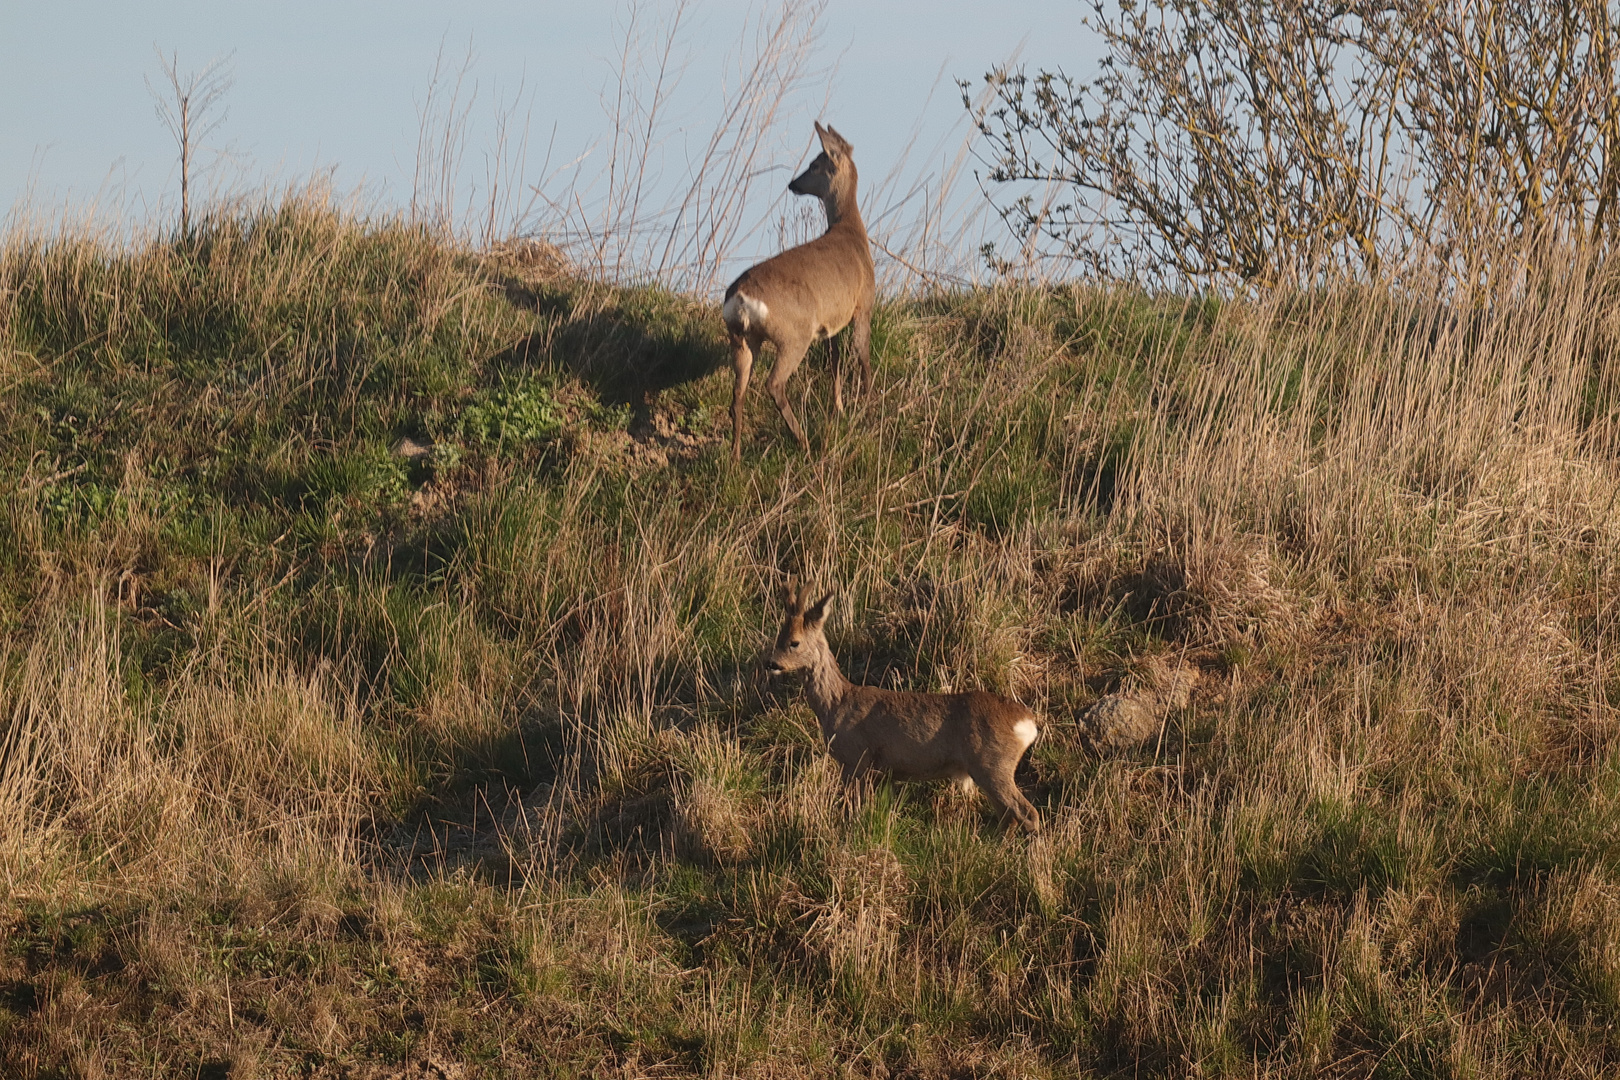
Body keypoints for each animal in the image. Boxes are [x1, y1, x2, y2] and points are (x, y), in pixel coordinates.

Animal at [722, 122, 874, 459]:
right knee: (773, 384)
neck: (851, 233)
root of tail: (740, 298)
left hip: (742, 338)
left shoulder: (830, 323)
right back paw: (803, 441)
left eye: (815, 164)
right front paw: (871, 405)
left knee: (737, 396)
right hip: (793, 335)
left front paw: (839, 408)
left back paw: (735, 458)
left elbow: (834, 361)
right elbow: (862, 353)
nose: (793, 184)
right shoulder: (862, 305)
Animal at [764, 586, 1043, 835]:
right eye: (778, 637)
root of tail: (1027, 723)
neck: (837, 704)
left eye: (794, 642)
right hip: (990, 769)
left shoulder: (856, 759)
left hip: (992, 764)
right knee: (1009, 816)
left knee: (1027, 813)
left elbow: (853, 811)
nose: (771, 664)